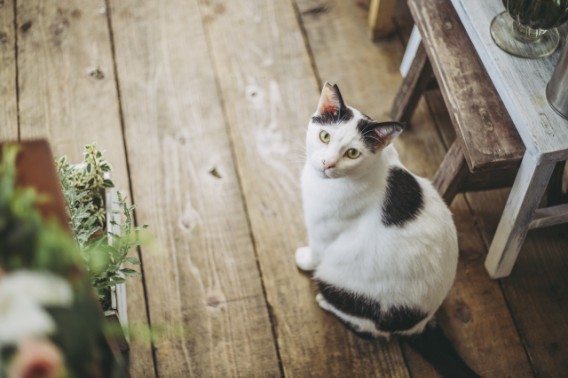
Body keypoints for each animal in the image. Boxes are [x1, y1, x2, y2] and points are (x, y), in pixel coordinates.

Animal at [298, 82, 480, 378]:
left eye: (352, 153)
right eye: (325, 136)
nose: (327, 164)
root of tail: (419, 325)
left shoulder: (324, 232)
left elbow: (316, 250)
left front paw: (303, 259)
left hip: (342, 283)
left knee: (372, 331)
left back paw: (326, 302)